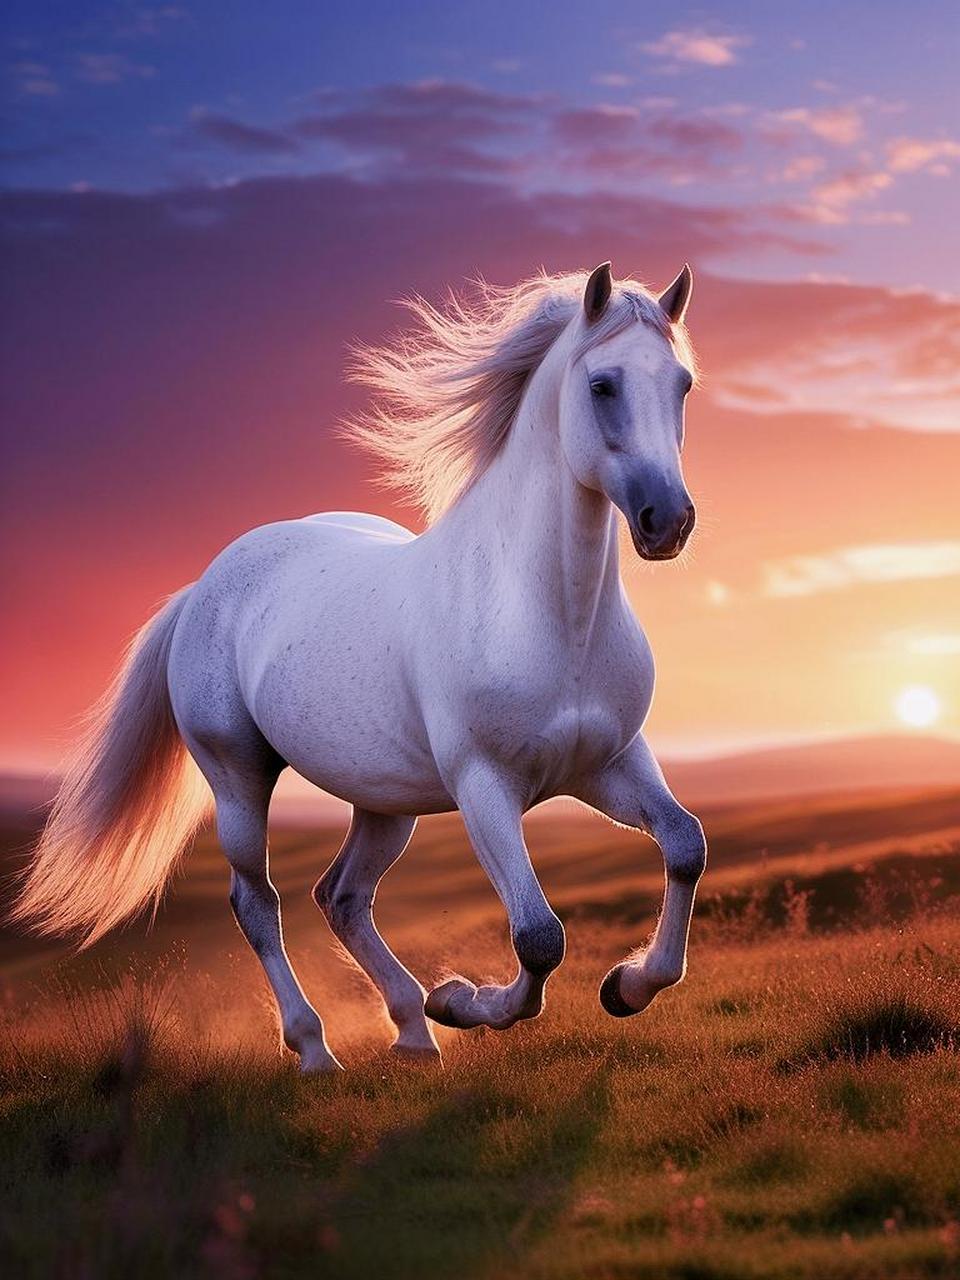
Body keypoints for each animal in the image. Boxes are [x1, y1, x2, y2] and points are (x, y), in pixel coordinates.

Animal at [14, 261, 707, 1073]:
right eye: (602, 385)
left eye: (682, 384)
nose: (669, 521)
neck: (547, 616)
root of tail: (204, 587)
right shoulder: (485, 786)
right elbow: (539, 937)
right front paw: (465, 1001)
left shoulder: (610, 764)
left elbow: (685, 845)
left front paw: (626, 987)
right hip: (237, 779)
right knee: (259, 904)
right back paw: (317, 1047)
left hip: (385, 802)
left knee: (341, 897)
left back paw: (412, 1030)